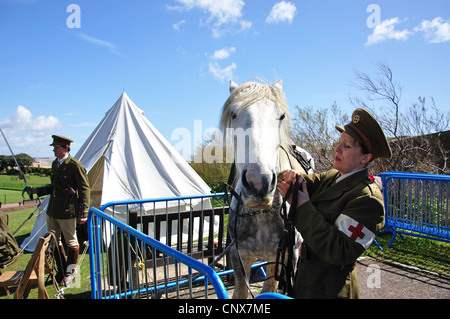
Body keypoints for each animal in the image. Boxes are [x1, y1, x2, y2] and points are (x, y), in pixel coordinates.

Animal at [219, 80, 310, 300]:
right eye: (233, 114)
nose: (258, 182)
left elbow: (270, 288)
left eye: (281, 116)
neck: (260, 214)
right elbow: (241, 292)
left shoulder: (282, 258)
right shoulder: (239, 258)